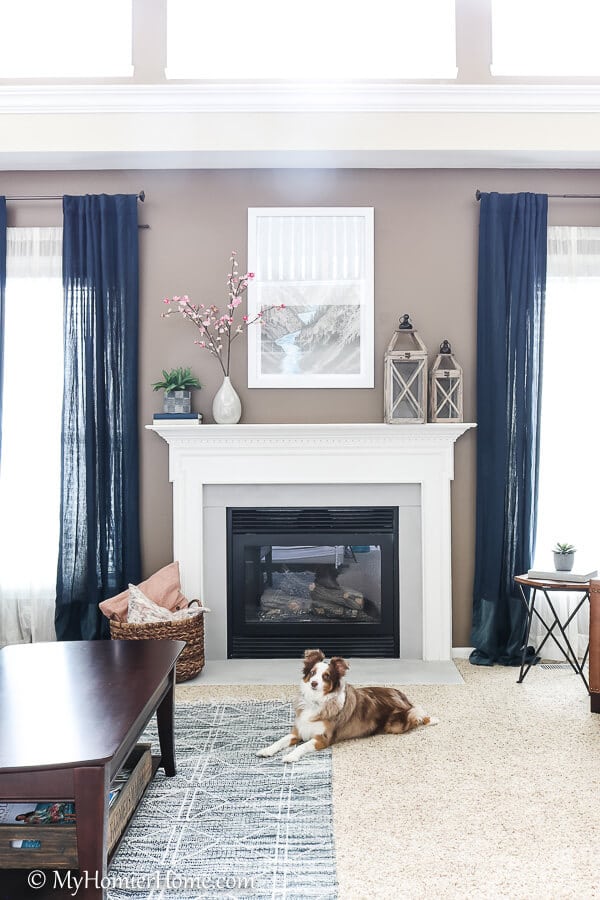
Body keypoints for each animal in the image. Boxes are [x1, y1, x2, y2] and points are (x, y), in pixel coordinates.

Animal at [255, 652, 438, 764]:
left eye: (326, 676)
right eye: (312, 673)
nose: (314, 683)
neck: (316, 702)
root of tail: (401, 696)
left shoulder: (323, 739)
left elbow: (302, 746)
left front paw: (290, 756)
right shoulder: (298, 731)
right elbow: (280, 741)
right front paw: (266, 750)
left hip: (396, 724)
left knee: (417, 714)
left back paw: (430, 719)